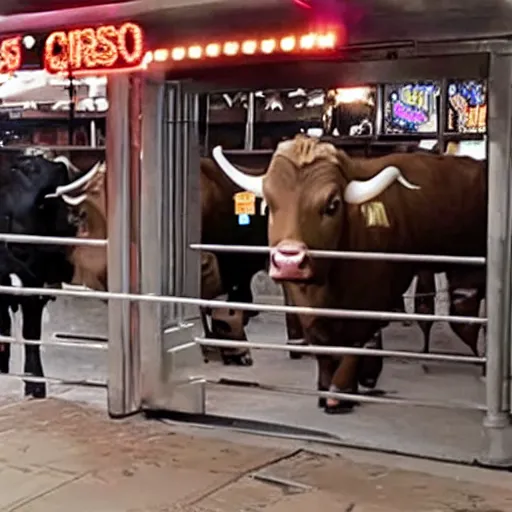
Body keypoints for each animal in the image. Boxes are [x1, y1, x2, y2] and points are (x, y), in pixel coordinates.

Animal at [213, 134, 488, 414]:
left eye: (333, 205)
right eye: (269, 205)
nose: (288, 261)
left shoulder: (371, 299)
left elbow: (354, 343)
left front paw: (340, 393)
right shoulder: (303, 301)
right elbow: (321, 343)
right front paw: (326, 388)